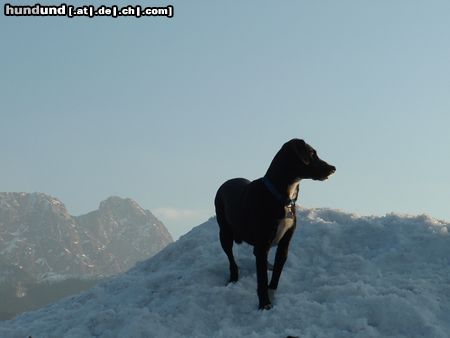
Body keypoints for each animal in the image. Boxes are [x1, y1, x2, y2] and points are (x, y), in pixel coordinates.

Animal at [216, 137, 336, 308]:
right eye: (312, 154)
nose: (333, 168)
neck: (282, 197)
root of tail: (226, 182)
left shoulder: (285, 243)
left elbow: (276, 276)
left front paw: (272, 296)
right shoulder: (262, 245)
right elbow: (262, 279)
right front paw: (264, 305)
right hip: (224, 232)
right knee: (231, 258)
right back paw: (233, 278)